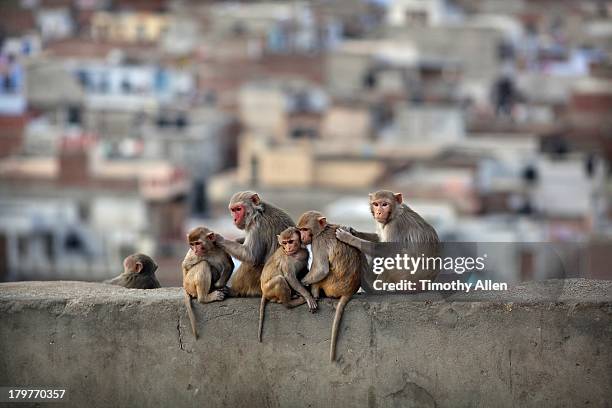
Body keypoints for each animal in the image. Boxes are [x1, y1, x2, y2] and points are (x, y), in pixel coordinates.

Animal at [298, 212, 368, 362]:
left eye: (305, 230)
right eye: (300, 230)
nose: (302, 237)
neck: (322, 230)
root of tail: (350, 290)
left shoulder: (318, 242)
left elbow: (322, 269)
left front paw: (301, 284)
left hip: (332, 285)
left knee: (323, 275)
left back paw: (315, 293)